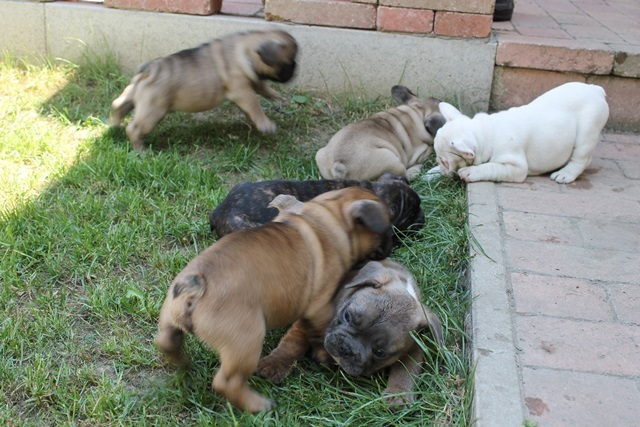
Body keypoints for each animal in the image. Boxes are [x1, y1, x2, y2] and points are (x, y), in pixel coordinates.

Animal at [109, 28, 298, 152]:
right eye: (288, 62)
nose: (295, 70)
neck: (244, 49)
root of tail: (149, 69)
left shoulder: (254, 80)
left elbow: (265, 90)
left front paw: (279, 99)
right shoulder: (243, 91)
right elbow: (256, 107)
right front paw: (266, 125)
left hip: (133, 96)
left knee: (118, 105)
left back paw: (114, 127)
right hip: (153, 111)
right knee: (134, 128)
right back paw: (141, 151)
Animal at [156, 188, 396, 414]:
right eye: (384, 229)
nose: (391, 242)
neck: (329, 212)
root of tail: (196, 285)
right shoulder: (321, 306)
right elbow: (319, 331)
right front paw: (322, 353)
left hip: (169, 316)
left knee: (166, 341)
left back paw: (182, 363)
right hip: (246, 341)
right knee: (227, 381)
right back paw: (258, 405)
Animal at [436, 83, 608, 185]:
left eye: (445, 162)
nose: (443, 171)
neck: (485, 132)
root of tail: (596, 90)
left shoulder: (516, 167)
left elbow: (490, 167)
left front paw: (470, 171)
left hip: (588, 130)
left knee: (580, 158)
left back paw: (565, 174)